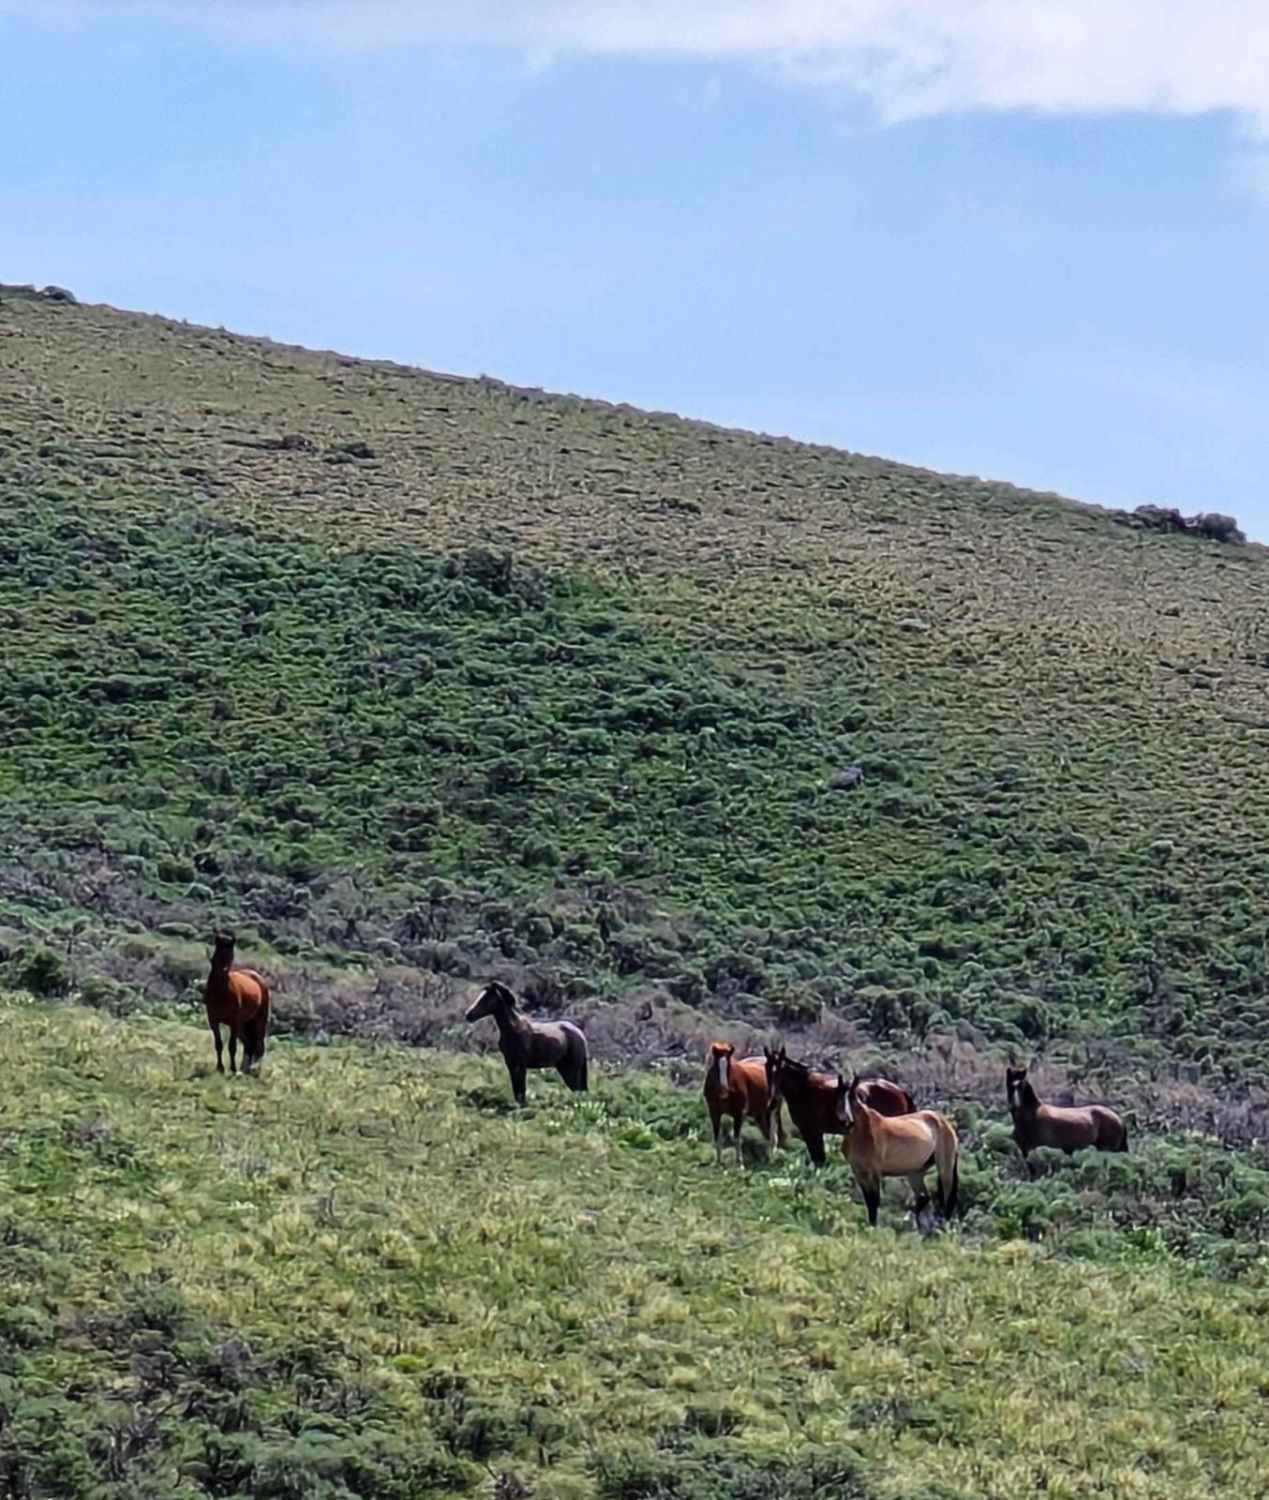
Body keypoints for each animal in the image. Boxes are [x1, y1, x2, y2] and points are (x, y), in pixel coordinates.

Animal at [203, 931, 270, 1076]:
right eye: (217, 951)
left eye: (230, 954)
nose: (223, 970)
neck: (221, 992)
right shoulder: (213, 1020)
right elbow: (219, 1044)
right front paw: (220, 1068)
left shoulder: (233, 1021)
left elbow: (232, 1046)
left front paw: (232, 1069)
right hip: (243, 1024)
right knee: (249, 1044)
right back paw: (245, 1069)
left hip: (259, 1020)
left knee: (259, 1045)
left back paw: (254, 1070)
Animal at [765, 1045, 915, 1166]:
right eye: (767, 1069)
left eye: (779, 1071)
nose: (771, 1103)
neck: (805, 1090)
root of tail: (900, 1091)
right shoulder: (815, 1133)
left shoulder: (811, 1132)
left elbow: (819, 1160)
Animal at [835, 1074, 959, 1229]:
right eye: (840, 1098)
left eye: (853, 1098)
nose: (847, 1121)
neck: (862, 1133)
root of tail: (943, 1121)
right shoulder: (859, 1172)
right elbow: (868, 1201)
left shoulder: (874, 1172)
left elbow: (874, 1200)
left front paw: (873, 1227)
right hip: (915, 1173)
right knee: (923, 1197)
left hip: (945, 1167)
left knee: (947, 1196)